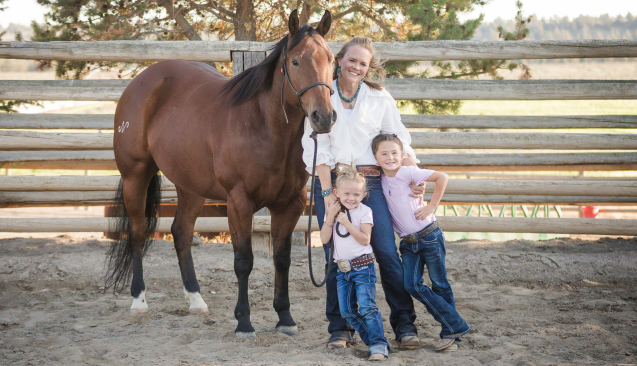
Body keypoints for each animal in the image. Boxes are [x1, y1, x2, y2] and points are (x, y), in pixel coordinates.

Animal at [104, 10, 336, 338]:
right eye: (295, 61)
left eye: (331, 60)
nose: (323, 117)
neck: (263, 126)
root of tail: (142, 80)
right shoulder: (239, 202)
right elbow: (243, 261)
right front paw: (244, 321)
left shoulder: (290, 204)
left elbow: (282, 259)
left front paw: (285, 317)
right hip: (135, 175)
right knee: (137, 233)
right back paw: (139, 301)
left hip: (191, 186)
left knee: (181, 233)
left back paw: (196, 300)